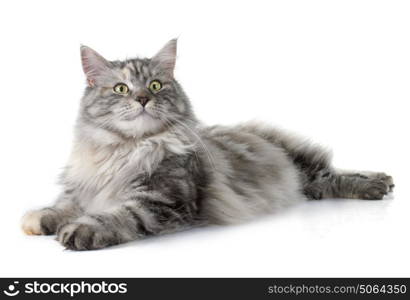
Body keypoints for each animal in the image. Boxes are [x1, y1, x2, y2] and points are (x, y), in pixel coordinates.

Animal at [21, 39, 394, 251]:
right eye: (121, 89)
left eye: (155, 85)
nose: (142, 98)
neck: (125, 149)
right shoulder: (84, 186)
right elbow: (65, 203)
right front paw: (41, 218)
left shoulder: (160, 200)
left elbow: (117, 216)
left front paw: (82, 229)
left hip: (303, 163)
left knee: (332, 176)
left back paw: (378, 184)